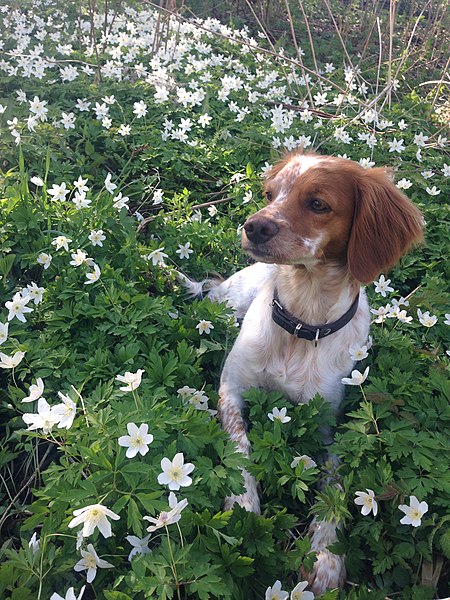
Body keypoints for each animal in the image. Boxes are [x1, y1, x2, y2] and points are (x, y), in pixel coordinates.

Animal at [181, 152, 424, 592]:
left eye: (317, 204)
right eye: (269, 194)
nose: (254, 226)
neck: (301, 321)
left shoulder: (333, 424)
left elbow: (337, 485)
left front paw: (326, 555)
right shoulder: (231, 388)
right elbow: (240, 447)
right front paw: (243, 504)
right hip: (227, 300)